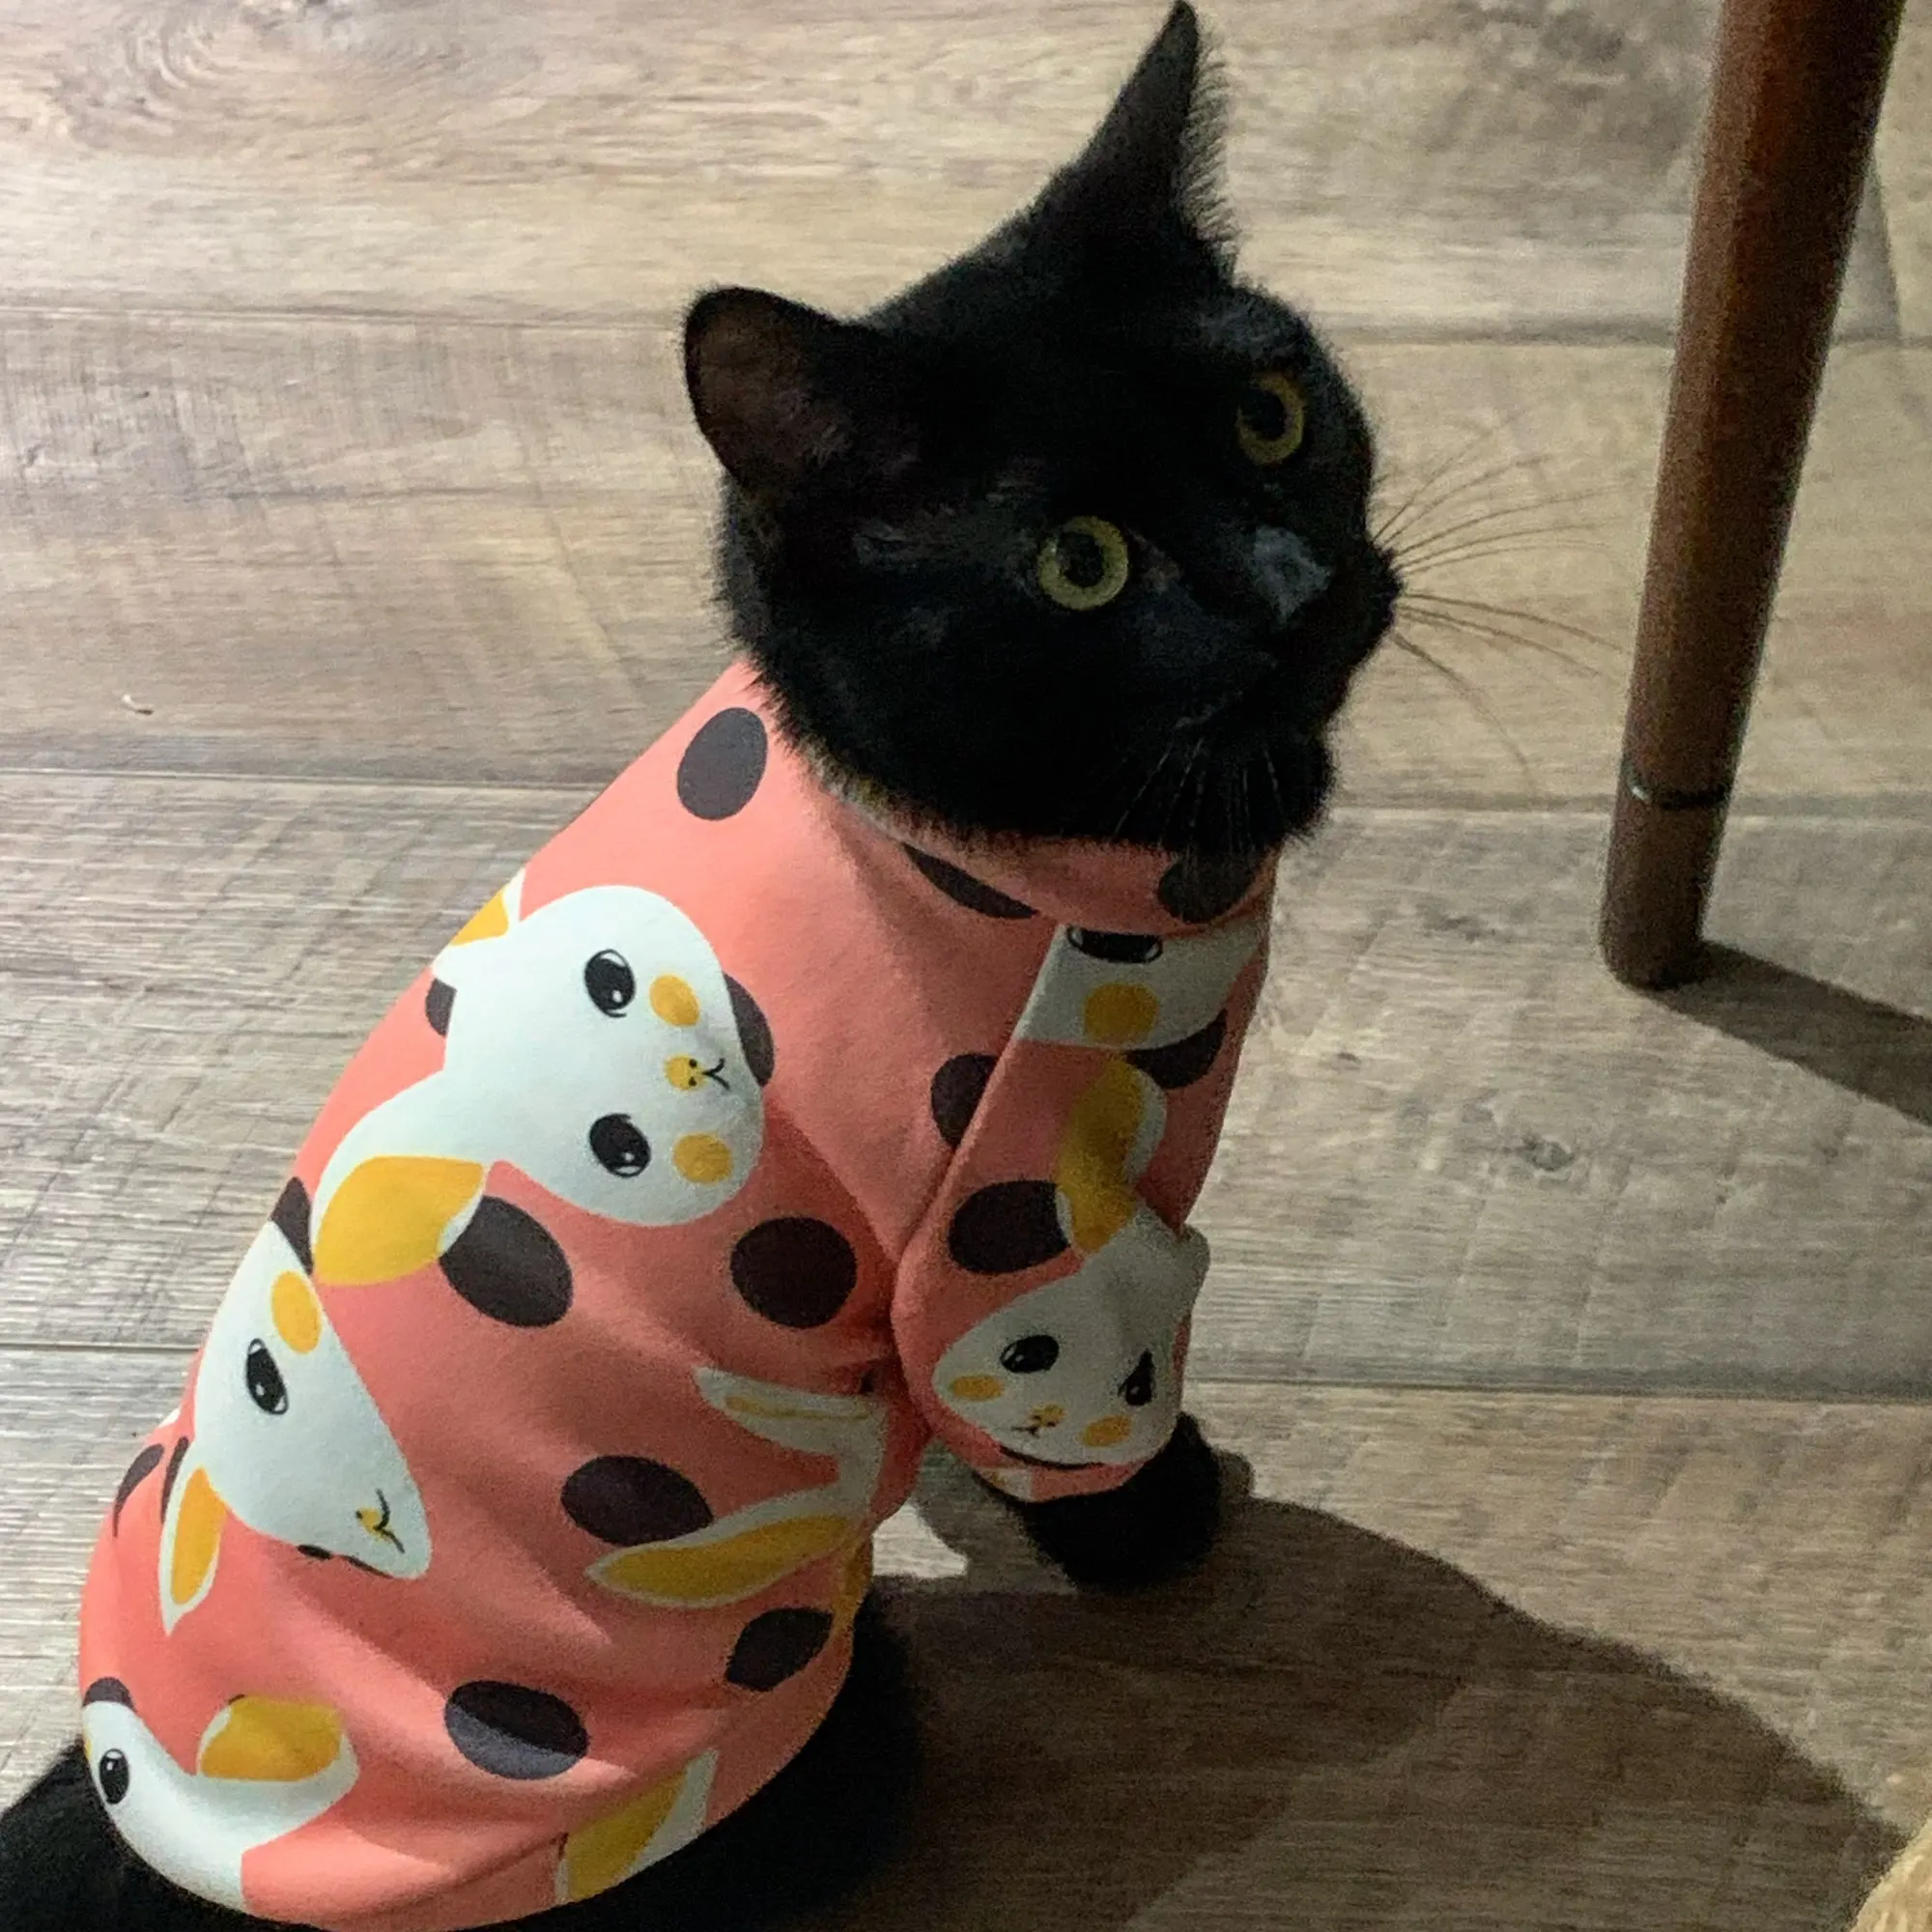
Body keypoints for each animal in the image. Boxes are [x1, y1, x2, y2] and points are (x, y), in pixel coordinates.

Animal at [0, 6, 1395, 1929]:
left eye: (1273, 413)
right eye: (1079, 564)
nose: (1296, 580)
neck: (957, 831)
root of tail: (153, 1828)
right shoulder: (1041, 1229)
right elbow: (1077, 1415)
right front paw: (1165, 1519)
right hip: (825, 1726)